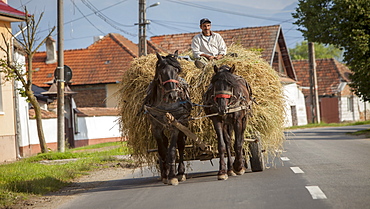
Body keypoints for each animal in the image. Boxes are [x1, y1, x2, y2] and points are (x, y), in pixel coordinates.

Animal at [143, 50, 192, 185]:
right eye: (162, 72)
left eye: (176, 70)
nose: (173, 95)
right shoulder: (155, 127)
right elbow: (162, 150)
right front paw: (166, 174)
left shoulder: (176, 126)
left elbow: (172, 150)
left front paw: (173, 176)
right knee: (165, 143)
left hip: (183, 123)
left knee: (181, 145)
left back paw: (180, 173)